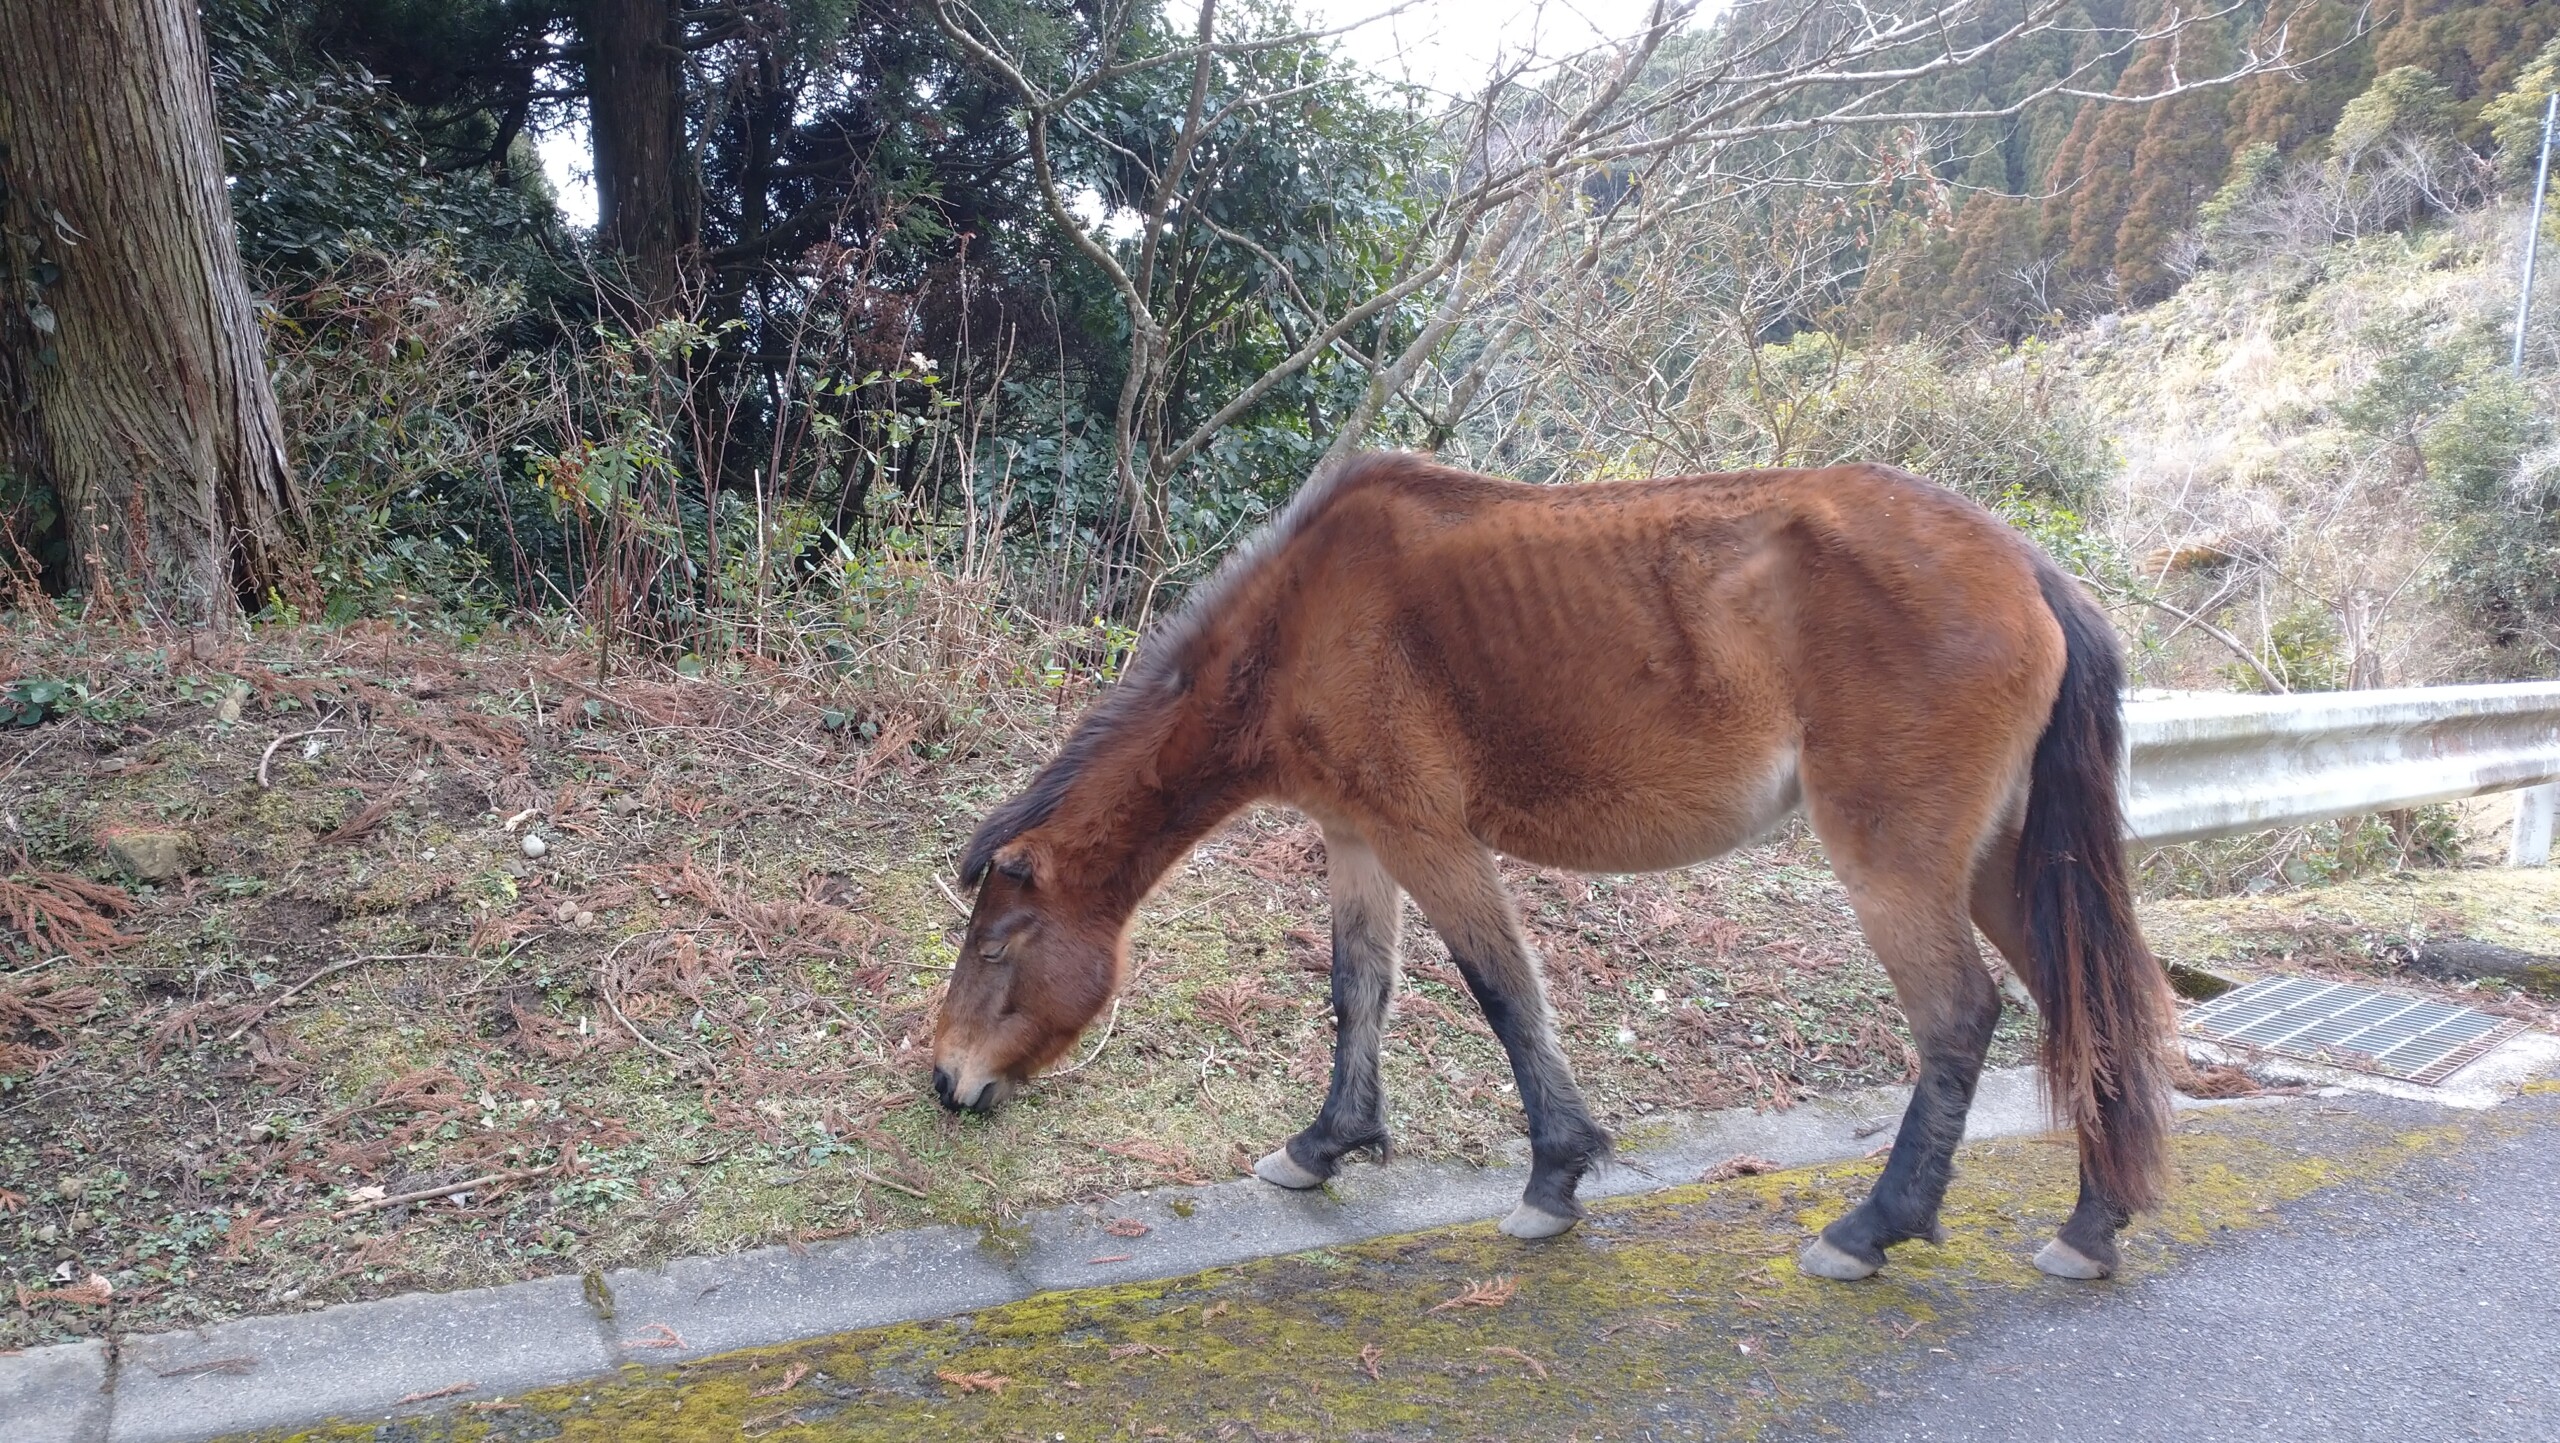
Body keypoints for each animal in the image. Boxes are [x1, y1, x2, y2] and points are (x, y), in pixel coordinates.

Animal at [942, 452, 2181, 1284]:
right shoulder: (1357, 840)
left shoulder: (1429, 839)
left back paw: (1869, 1231)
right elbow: (1358, 993)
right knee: (2088, 1006)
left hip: (1899, 863)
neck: (1298, 627)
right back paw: (2089, 1227)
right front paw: (1323, 1147)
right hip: (2002, 864)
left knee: (1960, 1016)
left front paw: (1553, 1177)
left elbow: (1502, 996)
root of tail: (2028, 569)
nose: (947, 1084)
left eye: (998, 945)